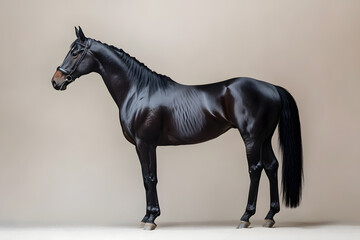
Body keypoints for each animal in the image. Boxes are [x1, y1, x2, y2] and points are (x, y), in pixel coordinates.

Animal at [52, 27, 302, 230]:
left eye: (76, 52)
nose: (56, 81)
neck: (138, 90)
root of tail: (272, 87)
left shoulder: (146, 143)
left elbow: (150, 178)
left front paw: (151, 219)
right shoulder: (141, 146)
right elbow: (146, 178)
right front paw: (147, 217)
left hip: (251, 138)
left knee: (255, 170)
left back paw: (245, 217)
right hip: (264, 138)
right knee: (271, 167)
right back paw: (269, 216)